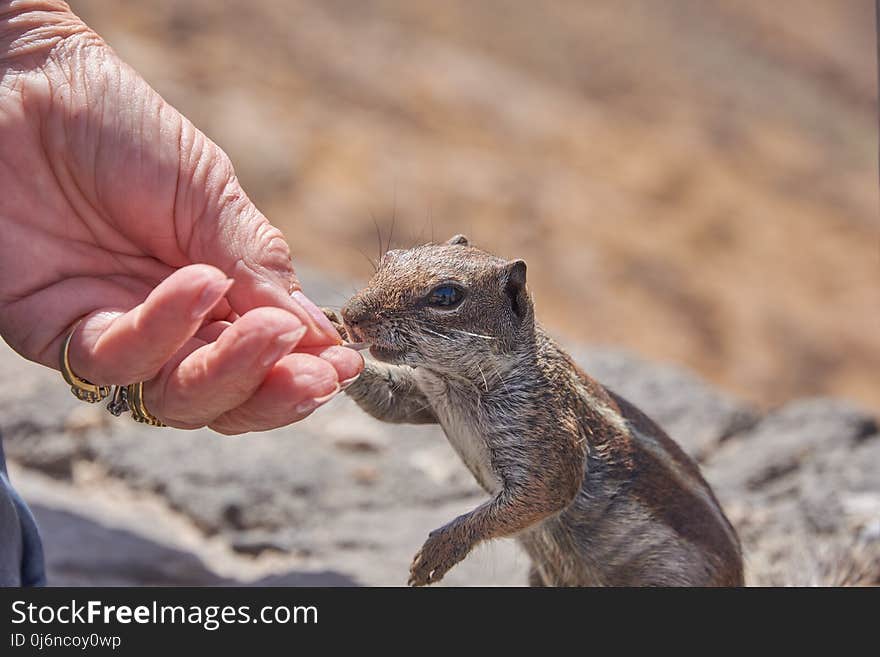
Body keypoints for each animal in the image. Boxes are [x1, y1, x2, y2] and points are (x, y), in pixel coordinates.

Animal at [326, 234, 744, 584]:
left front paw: (437, 551)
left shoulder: (550, 436)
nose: (351, 314)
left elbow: (545, 493)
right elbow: (389, 404)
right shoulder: (423, 396)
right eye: (389, 257)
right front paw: (331, 331)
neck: (457, 385)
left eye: (446, 296)